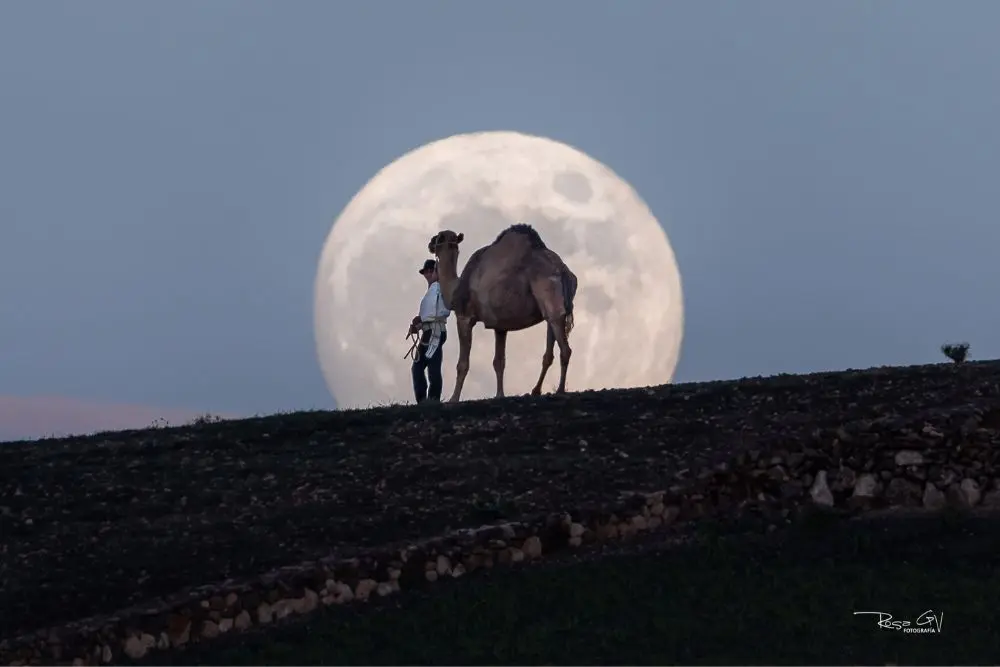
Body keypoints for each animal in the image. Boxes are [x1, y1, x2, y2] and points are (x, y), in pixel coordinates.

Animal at [428, 223, 580, 402]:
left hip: (550, 295)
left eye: (439, 237)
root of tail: (563, 271)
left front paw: (454, 398)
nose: (430, 243)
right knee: (549, 350)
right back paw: (536, 390)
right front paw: (499, 395)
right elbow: (499, 362)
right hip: (553, 310)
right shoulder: (500, 326)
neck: (456, 288)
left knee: (565, 349)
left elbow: (463, 364)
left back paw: (560, 390)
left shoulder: (464, 316)